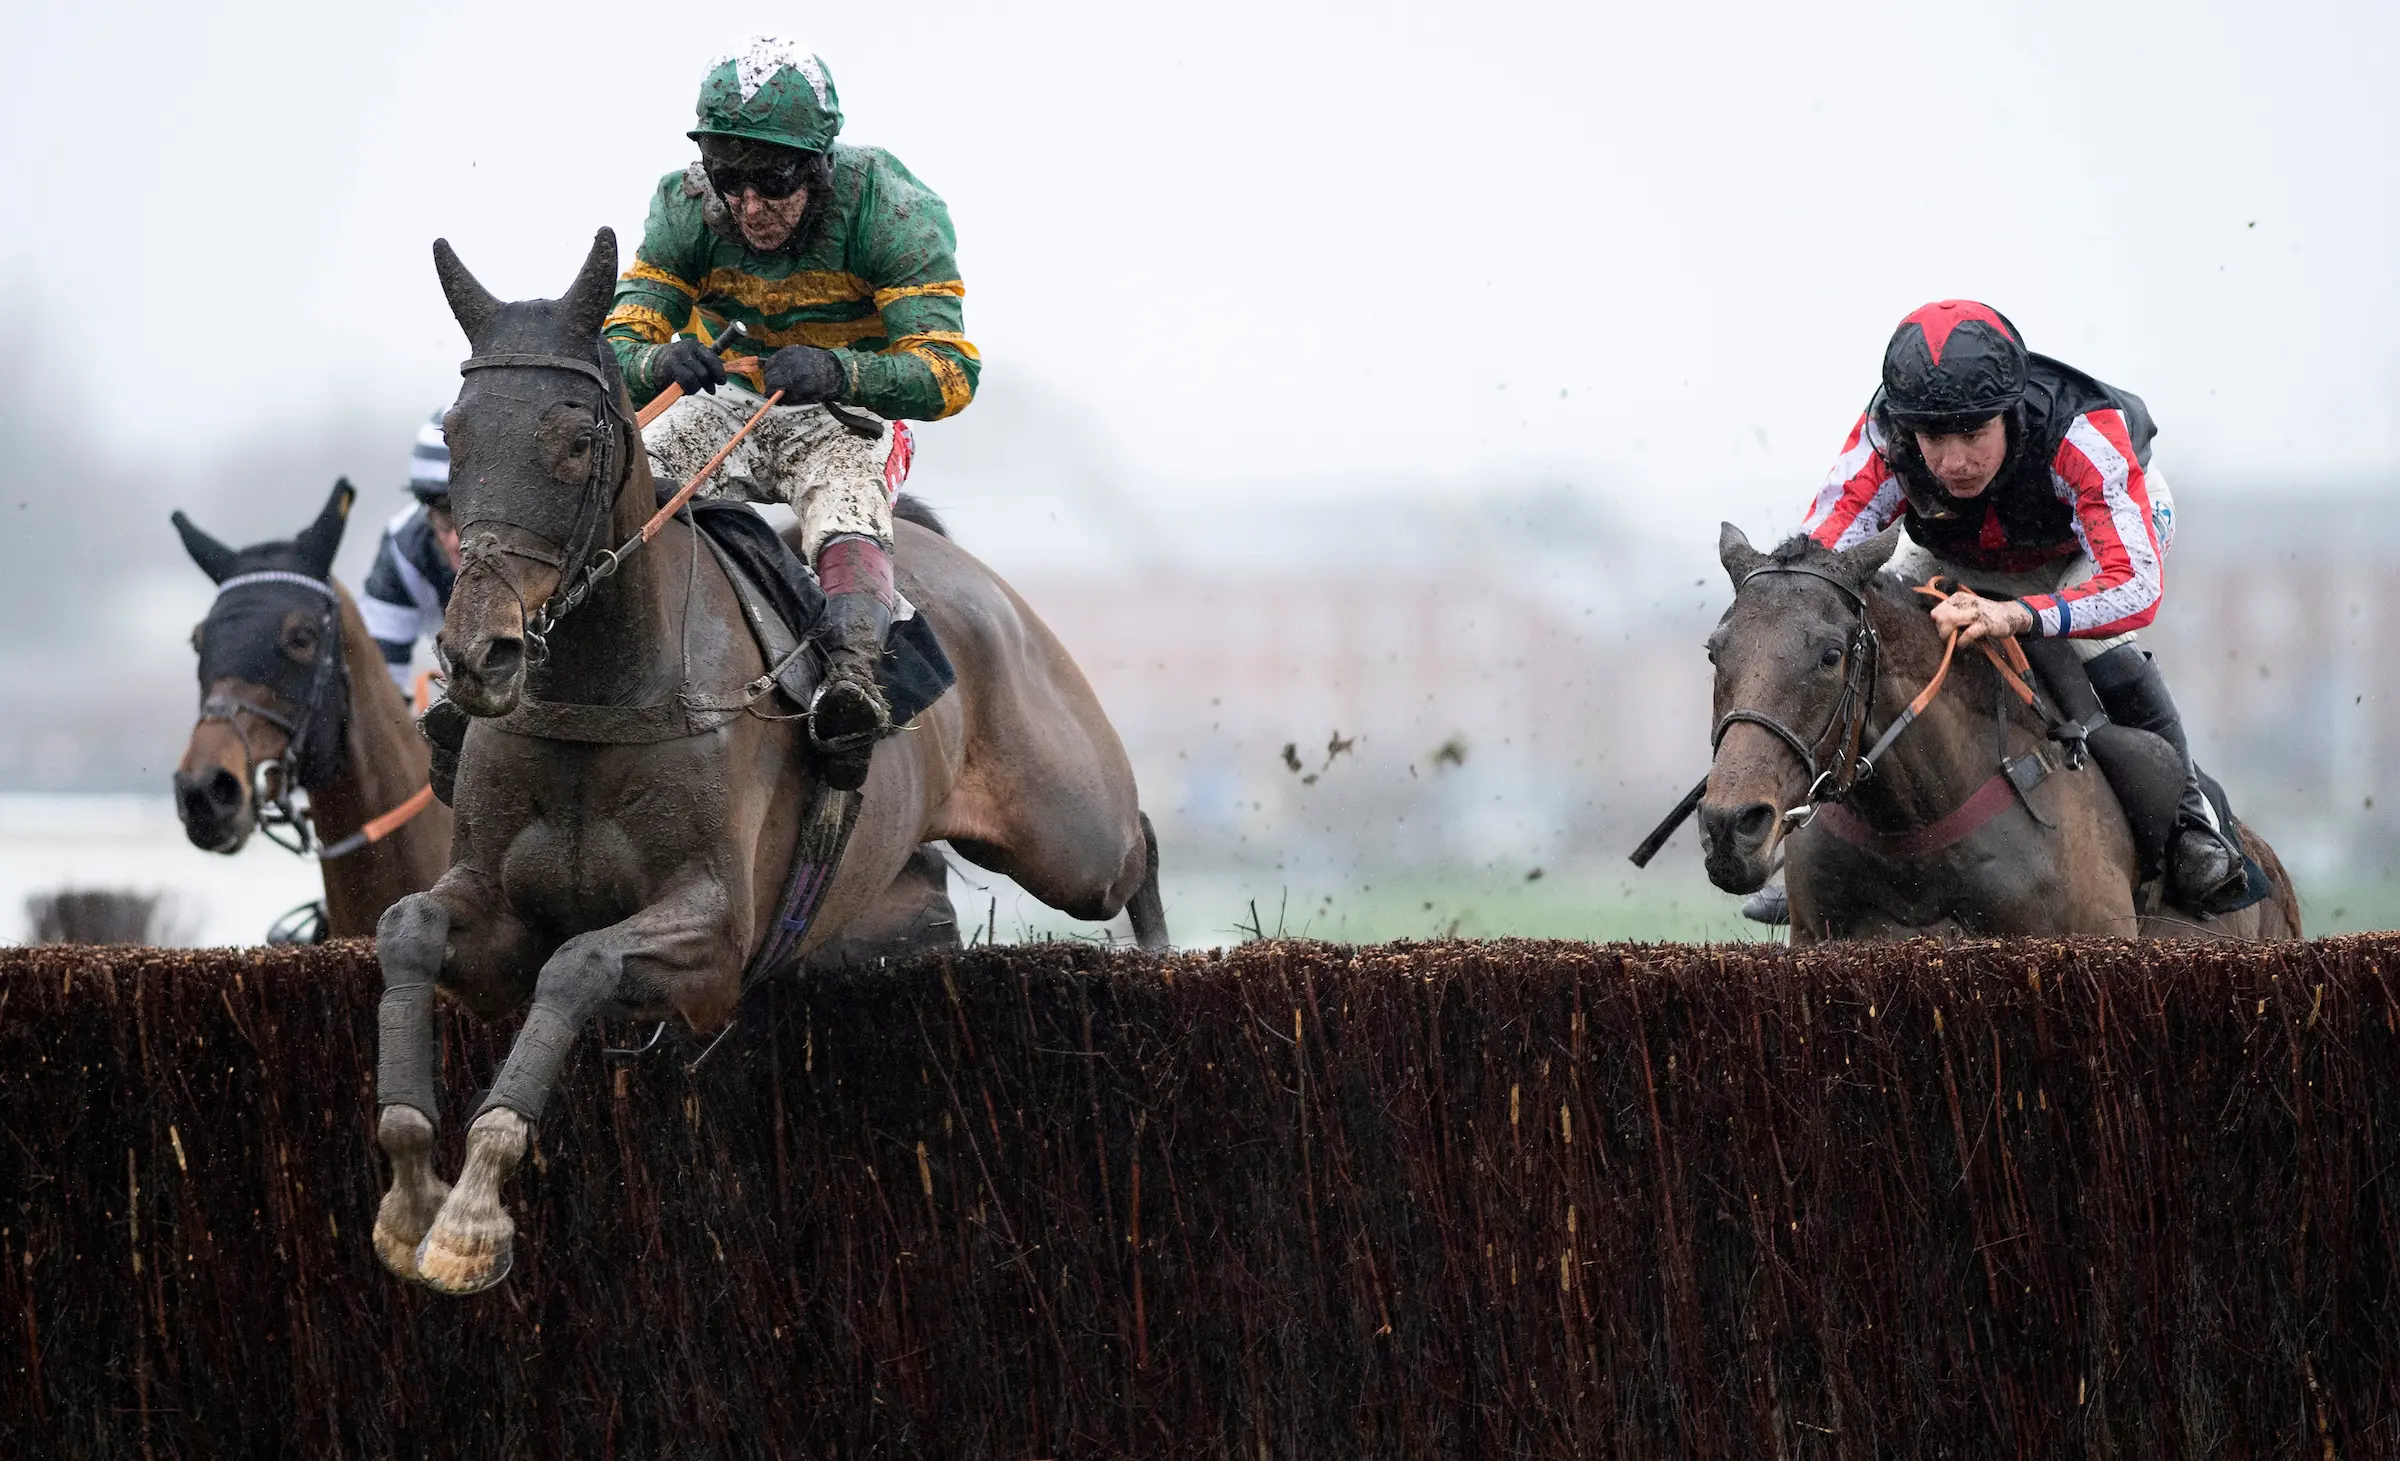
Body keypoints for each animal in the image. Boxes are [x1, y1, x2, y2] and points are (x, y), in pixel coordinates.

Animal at [372, 228, 1167, 1294]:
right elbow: (409, 928)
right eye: (457, 434)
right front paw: (410, 1191)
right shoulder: (495, 912)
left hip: (1067, 831)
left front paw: (469, 1215)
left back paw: (1163, 964)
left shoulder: (715, 934)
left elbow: (581, 964)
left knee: (1139, 845)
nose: (478, 655)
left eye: (577, 438)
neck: (606, 695)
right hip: (892, 900)